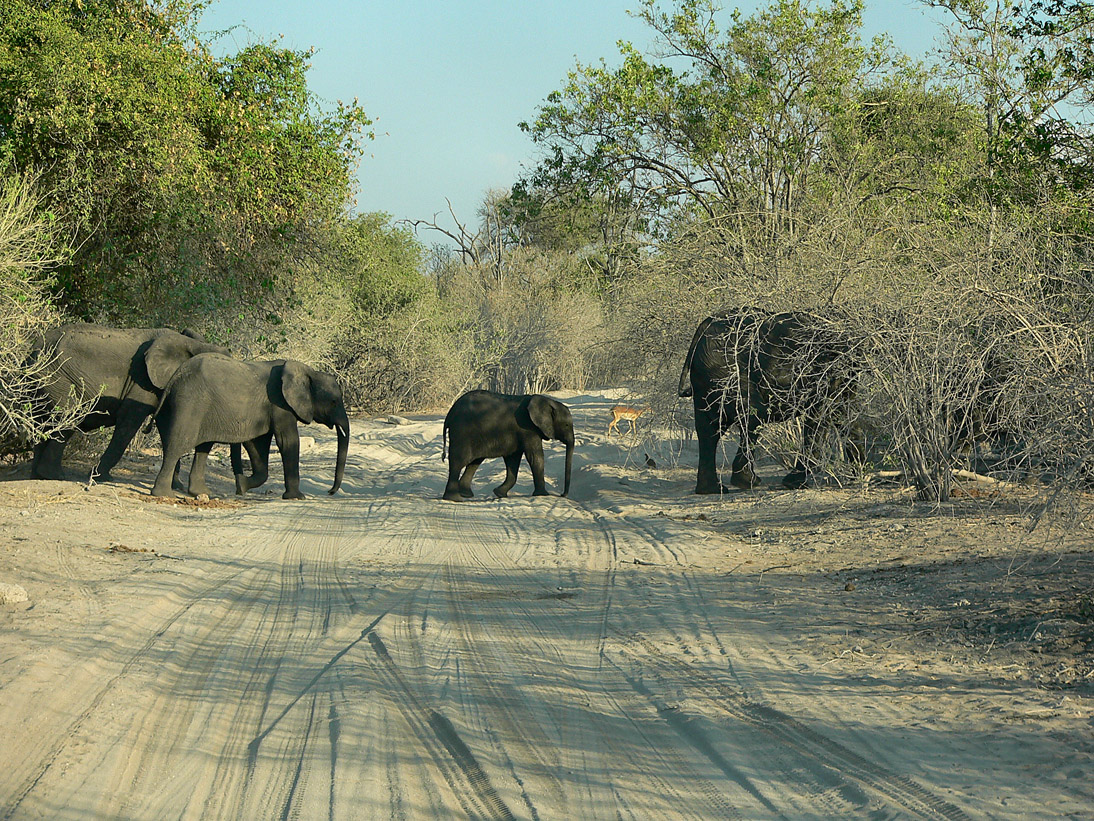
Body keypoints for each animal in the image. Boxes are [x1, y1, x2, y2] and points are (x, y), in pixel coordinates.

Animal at [27, 326, 230, 486]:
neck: (192, 344)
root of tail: (33, 349)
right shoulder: (142, 380)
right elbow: (129, 423)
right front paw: (102, 477)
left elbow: (166, 428)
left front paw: (177, 486)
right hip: (57, 377)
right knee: (71, 416)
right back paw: (54, 475)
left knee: (41, 421)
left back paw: (37, 475)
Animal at [147, 354, 347, 501]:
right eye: (334, 402)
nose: (330, 492)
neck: (308, 372)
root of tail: (175, 376)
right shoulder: (281, 404)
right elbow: (287, 441)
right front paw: (297, 497)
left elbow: (256, 444)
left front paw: (241, 485)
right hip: (189, 403)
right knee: (179, 444)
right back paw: (164, 495)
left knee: (203, 447)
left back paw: (201, 493)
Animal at [439, 389, 577, 501]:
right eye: (566, 425)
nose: (562, 495)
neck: (546, 401)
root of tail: (450, 414)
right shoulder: (528, 428)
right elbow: (535, 457)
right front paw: (543, 495)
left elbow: (513, 460)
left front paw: (499, 493)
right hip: (462, 432)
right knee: (458, 461)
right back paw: (455, 498)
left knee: (474, 462)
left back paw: (466, 495)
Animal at [673, 310, 862, 494]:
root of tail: (705, 324)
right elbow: (821, 415)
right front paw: (793, 484)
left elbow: (844, 416)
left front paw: (859, 474)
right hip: (725, 366)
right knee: (752, 416)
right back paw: (747, 481)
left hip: (709, 373)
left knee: (709, 429)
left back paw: (712, 489)